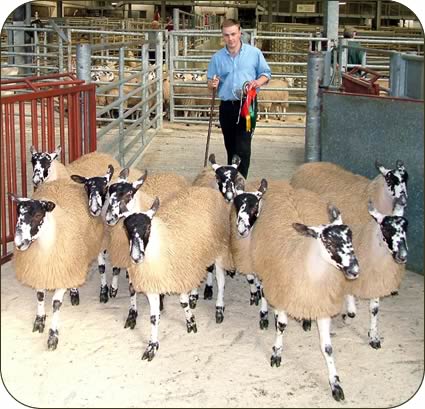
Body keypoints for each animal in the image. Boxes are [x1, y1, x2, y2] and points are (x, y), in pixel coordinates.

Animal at [9, 180, 104, 350]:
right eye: (18, 214)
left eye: (38, 215)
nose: (19, 243)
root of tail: (65, 182)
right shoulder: (39, 271)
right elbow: (40, 296)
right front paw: (39, 320)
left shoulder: (63, 269)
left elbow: (56, 304)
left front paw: (53, 336)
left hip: (93, 246)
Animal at [121, 186, 234, 360]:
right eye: (126, 230)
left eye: (148, 228)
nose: (136, 257)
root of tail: (206, 189)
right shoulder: (153, 283)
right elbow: (154, 317)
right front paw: (152, 346)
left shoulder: (180, 276)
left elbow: (183, 303)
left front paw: (190, 322)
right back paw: (195, 294)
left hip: (219, 249)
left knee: (221, 282)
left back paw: (219, 308)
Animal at [232, 180, 358, 400]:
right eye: (327, 241)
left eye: (350, 236)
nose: (354, 269)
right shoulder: (280, 289)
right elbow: (281, 325)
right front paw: (276, 353)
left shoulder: (321, 304)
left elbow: (327, 348)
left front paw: (336, 384)